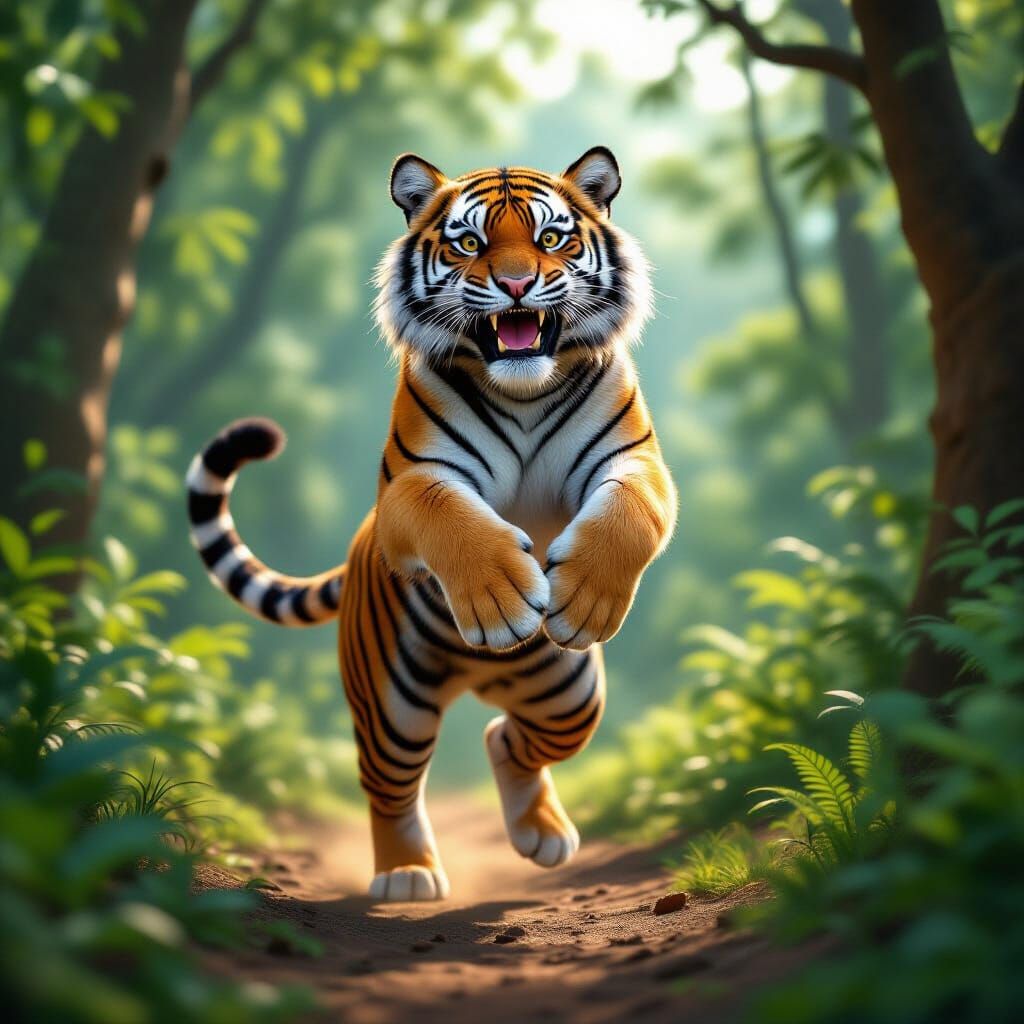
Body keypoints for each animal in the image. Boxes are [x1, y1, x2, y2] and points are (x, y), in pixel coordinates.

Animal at [186, 147, 677, 901]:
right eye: (469, 244)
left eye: (551, 238)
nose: (515, 284)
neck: (523, 390)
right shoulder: (410, 484)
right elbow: (451, 516)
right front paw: (501, 604)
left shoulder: (636, 460)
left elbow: (630, 512)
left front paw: (585, 600)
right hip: (393, 703)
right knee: (388, 784)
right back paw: (406, 874)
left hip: (568, 693)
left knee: (509, 738)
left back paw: (540, 834)